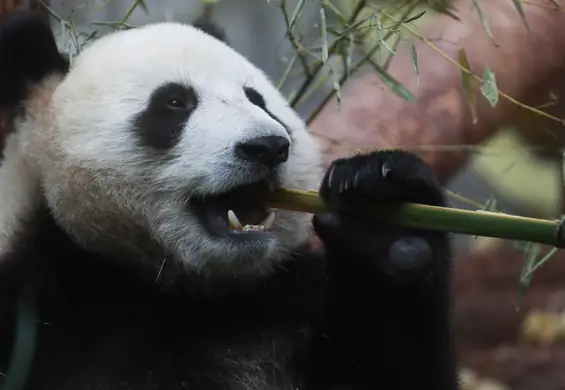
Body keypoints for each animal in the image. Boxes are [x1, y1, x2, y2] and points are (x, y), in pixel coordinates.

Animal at [0, 9, 458, 390]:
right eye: (174, 102)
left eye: (257, 99)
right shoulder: (43, 313)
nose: (268, 146)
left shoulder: (285, 304)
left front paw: (382, 225)